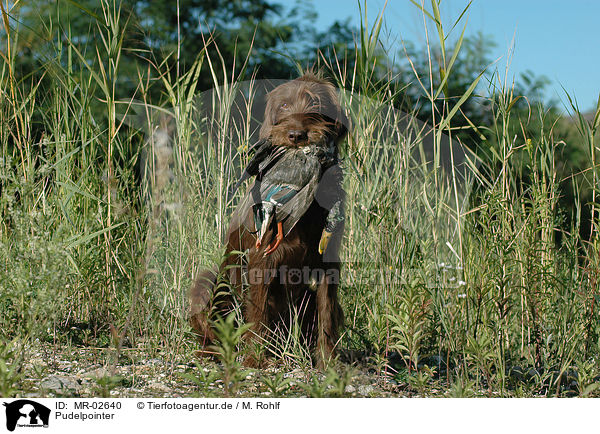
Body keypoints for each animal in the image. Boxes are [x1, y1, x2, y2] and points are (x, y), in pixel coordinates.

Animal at [188, 73, 346, 368]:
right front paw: (254, 359)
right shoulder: (261, 260)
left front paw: (328, 362)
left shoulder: (327, 260)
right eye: (283, 105)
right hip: (209, 281)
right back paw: (215, 352)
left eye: (316, 103)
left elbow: (327, 313)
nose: (296, 136)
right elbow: (258, 313)